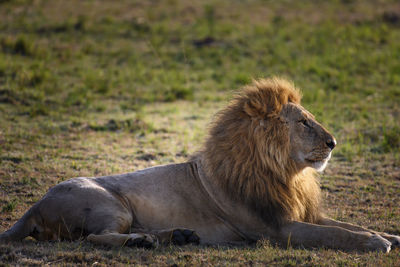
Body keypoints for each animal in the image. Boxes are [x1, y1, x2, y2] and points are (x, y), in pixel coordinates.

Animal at [0, 78, 400, 253]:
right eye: (303, 122)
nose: (334, 143)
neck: (288, 174)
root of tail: (34, 206)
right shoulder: (275, 228)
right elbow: (334, 234)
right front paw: (376, 242)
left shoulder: (302, 212)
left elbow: (345, 224)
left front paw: (389, 235)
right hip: (111, 204)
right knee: (94, 238)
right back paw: (142, 241)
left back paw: (177, 236)